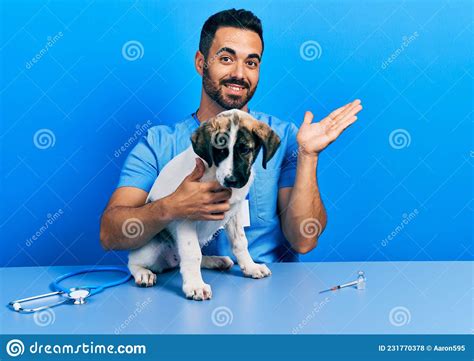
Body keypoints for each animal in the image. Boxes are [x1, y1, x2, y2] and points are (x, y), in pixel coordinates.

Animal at [128, 108, 280, 300]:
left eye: (245, 149)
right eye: (220, 151)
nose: (231, 180)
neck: (213, 171)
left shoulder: (234, 212)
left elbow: (240, 242)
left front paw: (251, 266)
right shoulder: (185, 217)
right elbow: (192, 254)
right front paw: (195, 286)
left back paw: (216, 260)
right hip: (151, 245)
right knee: (133, 262)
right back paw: (143, 273)